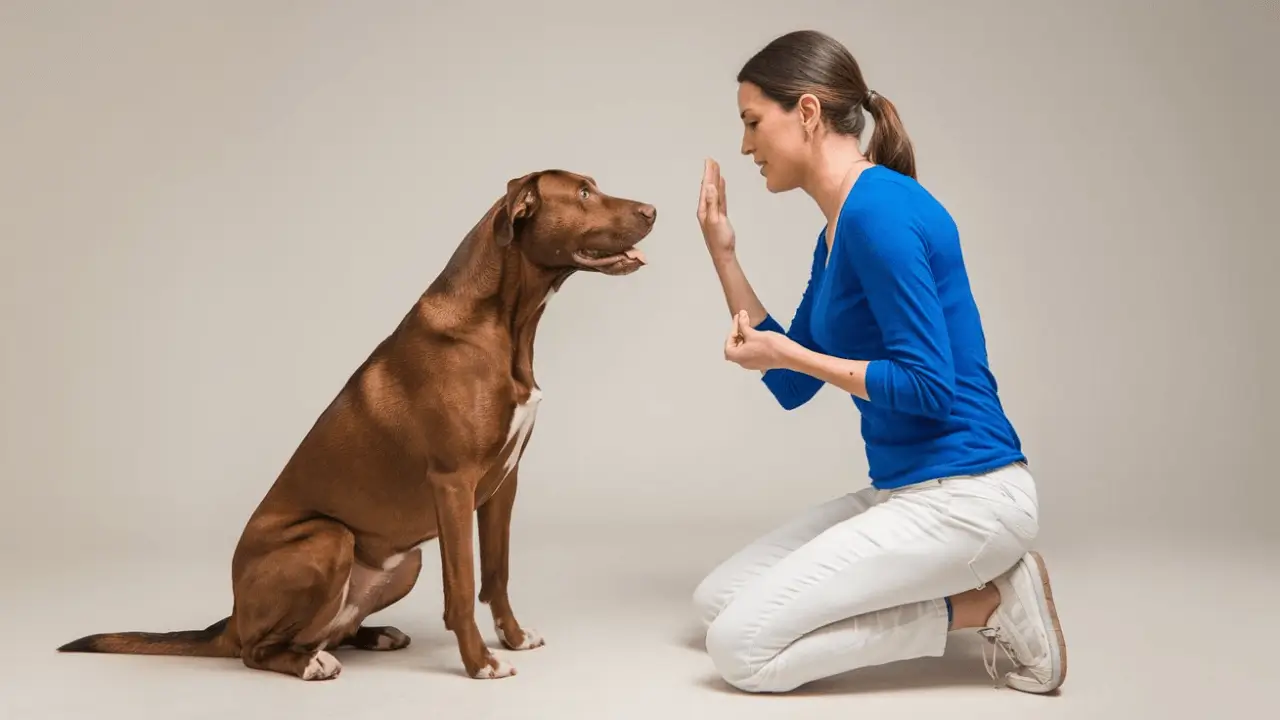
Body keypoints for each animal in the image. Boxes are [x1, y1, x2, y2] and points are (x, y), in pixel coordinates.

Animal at [55, 166, 655, 676]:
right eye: (583, 193)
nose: (653, 209)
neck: (505, 320)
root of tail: (229, 619)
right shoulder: (454, 484)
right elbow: (462, 587)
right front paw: (479, 662)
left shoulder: (502, 485)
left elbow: (497, 573)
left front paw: (512, 637)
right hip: (328, 538)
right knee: (257, 651)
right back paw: (307, 664)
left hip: (404, 561)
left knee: (327, 629)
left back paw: (371, 635)